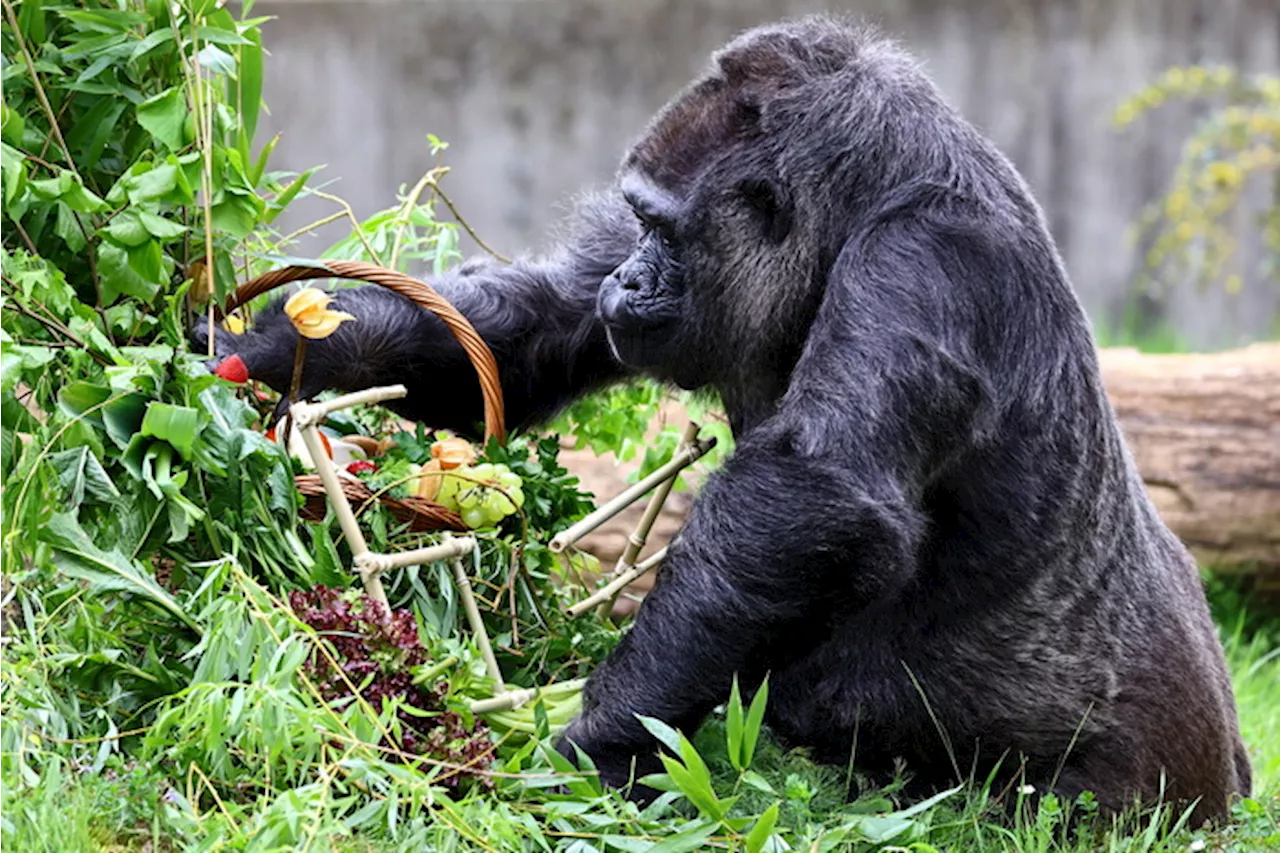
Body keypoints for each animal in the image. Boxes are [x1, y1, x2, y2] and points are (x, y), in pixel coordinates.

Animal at [197, 14, 1249, 824]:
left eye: (661, 230)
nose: (627, 277)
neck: (868, 197)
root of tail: (1232, 773)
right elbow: (525, 329)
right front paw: (257, 349)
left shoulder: (931, 260)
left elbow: (815, 494)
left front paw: (598, 739)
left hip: (1126, 792)